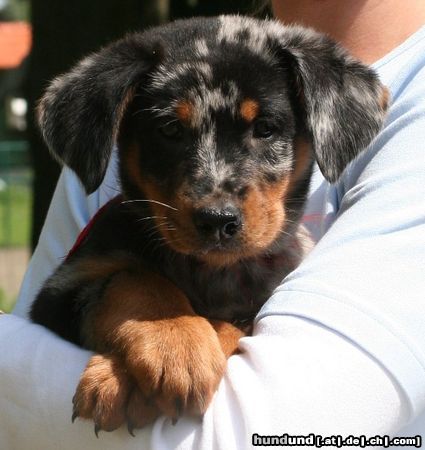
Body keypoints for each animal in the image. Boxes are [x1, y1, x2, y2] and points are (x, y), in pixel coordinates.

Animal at [29, 15, 388, 434]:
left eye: (265, 128)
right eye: (169, 129)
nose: (218, 220)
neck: (213, 272)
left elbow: (238, 321)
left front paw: (146, 367)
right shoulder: (61, 289)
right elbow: (134, 278)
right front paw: (174, 344)